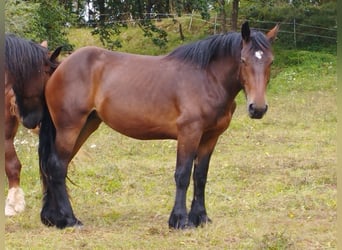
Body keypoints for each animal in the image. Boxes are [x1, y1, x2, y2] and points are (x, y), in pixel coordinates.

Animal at [35, 21, 280, 229]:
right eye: (243, 60)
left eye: (270, 61)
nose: (257, 108)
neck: (207, 79)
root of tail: (59, 68)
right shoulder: (189, 133)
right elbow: (183, 175)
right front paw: (179, 221)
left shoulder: (210, 137)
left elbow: (200, 176)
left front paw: (200, 217)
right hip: (69, 127)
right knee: (57, 166)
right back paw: (69, 219)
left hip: (85, 126)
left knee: (56, 166)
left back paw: (52, 218)